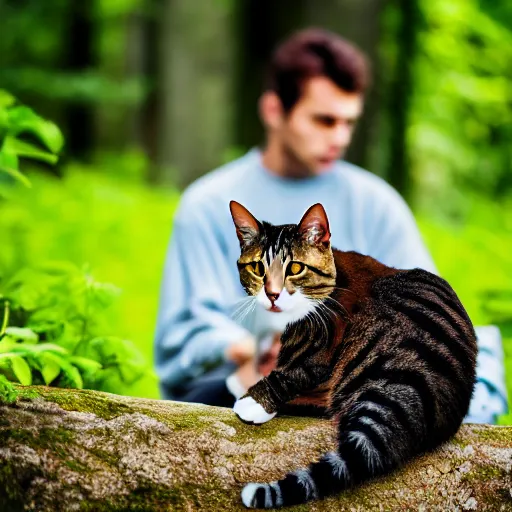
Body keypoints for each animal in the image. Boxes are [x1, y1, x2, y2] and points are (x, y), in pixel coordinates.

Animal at [228, 200, 476, 508]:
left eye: (295, 267)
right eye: (258, 268)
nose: (272, 294)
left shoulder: (322, 343)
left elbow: (295, 371)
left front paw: (254, 401)